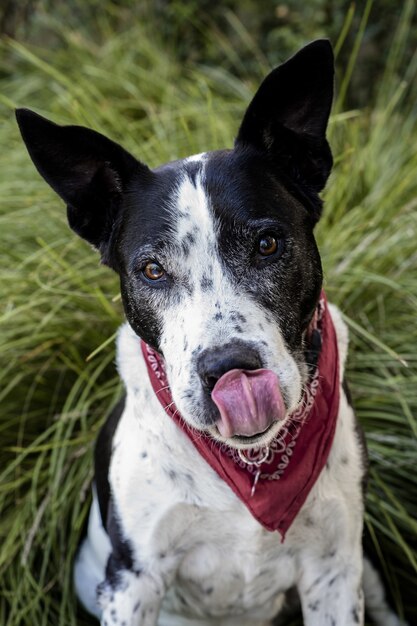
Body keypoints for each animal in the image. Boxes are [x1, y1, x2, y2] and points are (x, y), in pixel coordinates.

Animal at [17, 39, 404, 624]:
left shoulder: (334, 572)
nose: (228, 371)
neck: (251, 468)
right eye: (153, 270)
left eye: (267, 244)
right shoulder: (133, 580)